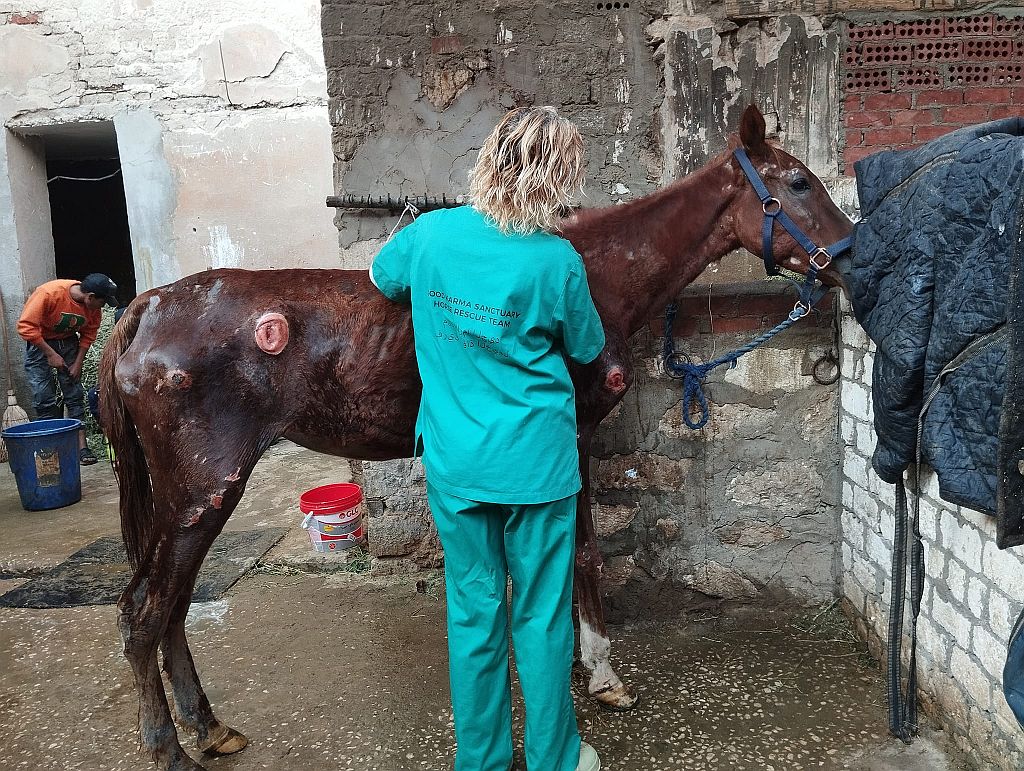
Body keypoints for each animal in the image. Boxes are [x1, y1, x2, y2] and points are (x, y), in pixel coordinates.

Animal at [99, 106, 851, 769]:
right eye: (798, 183)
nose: (849, 255)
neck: (600, 270)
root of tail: (147, 308)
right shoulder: (574, 440)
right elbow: (584, 557)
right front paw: (603, 674)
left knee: (172, 607)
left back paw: (210, 727)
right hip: (203, 489)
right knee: (144, 610)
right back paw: (169, 748)